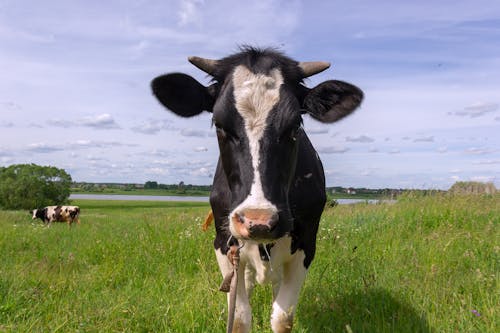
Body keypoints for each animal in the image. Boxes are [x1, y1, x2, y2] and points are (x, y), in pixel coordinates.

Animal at [150, 47, 362, 332]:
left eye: (295, 126)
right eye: (219, 124)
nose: (258, 221)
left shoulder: (307, 245)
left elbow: (282, 317)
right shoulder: (224, 244)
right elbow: (239, 317)